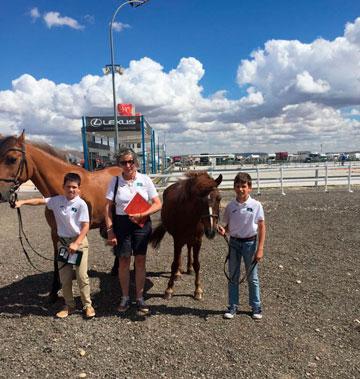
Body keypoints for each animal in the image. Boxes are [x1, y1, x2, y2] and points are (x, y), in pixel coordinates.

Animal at [0, 132, 121, 302]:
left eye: (12, 159)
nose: (0, 193)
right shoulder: (55, 232)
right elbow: (57, 259)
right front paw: (54, 290)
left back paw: (116, 269)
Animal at [150, 171, 222, 300]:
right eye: (200, 200)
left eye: (219, 198)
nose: (211, 232)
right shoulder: (178, 240)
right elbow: (174, 264)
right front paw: (169, 289)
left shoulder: (198, 240)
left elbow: (197, 264)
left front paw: (198, 290)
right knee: (179, 256)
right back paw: (178, 273)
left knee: (188, 248)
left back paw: (189, 268)